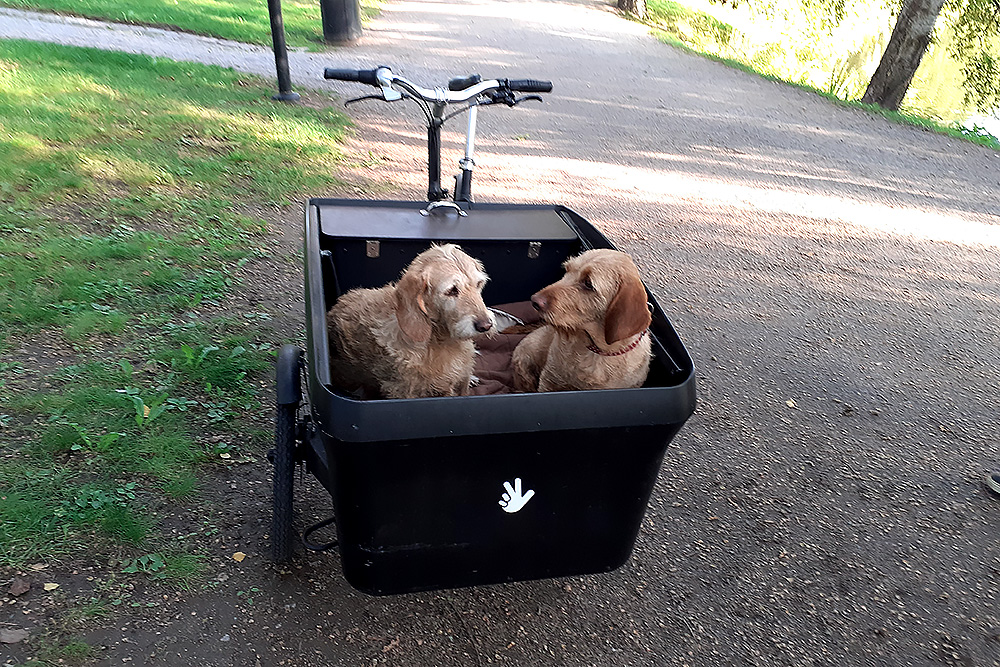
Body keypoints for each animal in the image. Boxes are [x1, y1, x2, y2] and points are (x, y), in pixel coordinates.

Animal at [326, 247, 494, 400]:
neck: (437, 339)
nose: (486, 325)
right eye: (452, 290)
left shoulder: (461, 378)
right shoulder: (404, 391)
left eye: (479, 283)